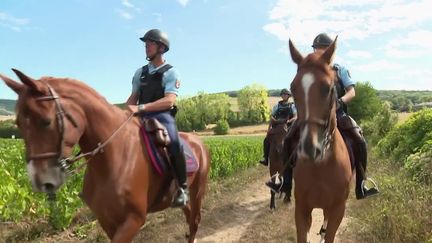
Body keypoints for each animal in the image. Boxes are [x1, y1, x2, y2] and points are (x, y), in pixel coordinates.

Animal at [1, 69, 211, 242]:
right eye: (18, 124)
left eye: (45, 121)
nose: (40, 181)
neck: (113, 159)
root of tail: (198, 141)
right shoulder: (106, 219)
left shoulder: (133, 219)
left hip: (197, 192)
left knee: (194, 221)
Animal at [286, 38, 352, 243]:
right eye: (293, 88)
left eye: (329, 88)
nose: (309, 148)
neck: (321, 165)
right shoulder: (302, 208)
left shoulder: (338, 209)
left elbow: (329, 234)